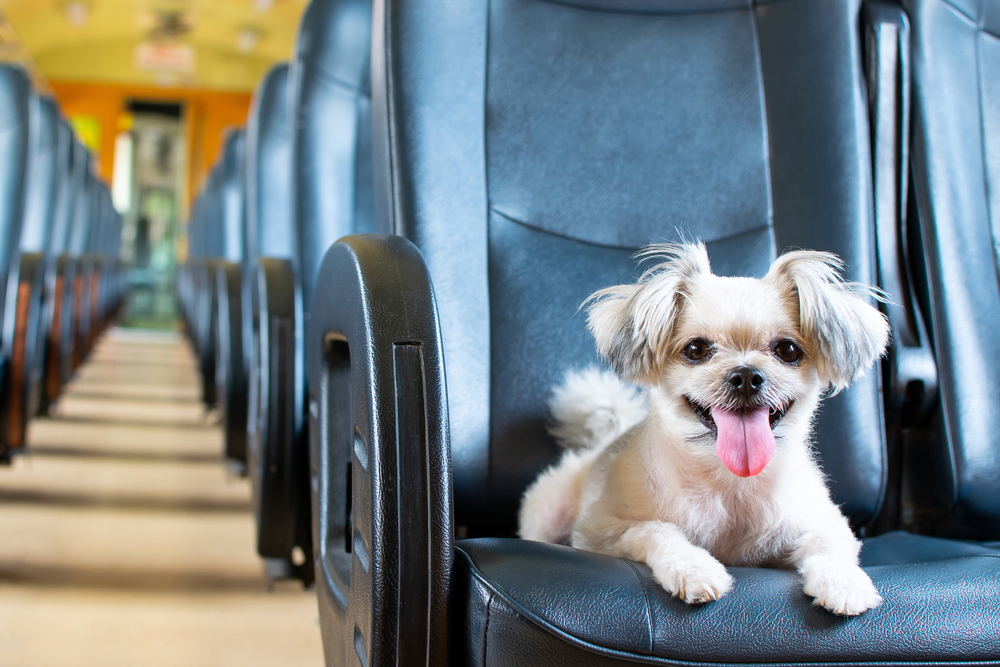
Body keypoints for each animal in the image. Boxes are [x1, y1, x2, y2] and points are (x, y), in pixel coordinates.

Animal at [520, 243, 888, 620]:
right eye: (696, 349)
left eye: (788, 351)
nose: (746, 375)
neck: (730, 484)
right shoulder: (599, 533)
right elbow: (655, 529)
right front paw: (692, 567)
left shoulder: (825, 524)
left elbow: (829, 546)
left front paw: (842, 581)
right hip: (548, 515)